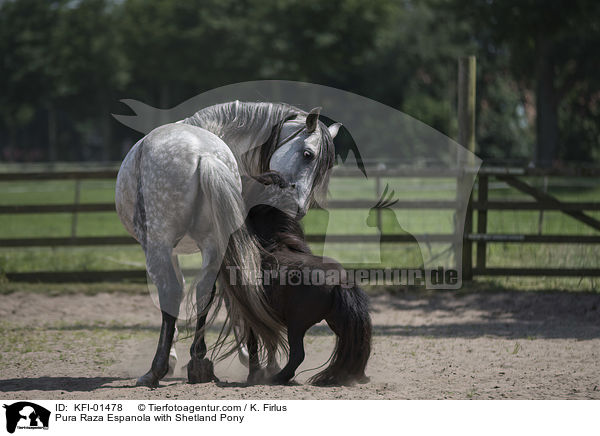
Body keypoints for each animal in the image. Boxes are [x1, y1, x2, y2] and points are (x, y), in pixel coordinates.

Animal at [115, 102, 340, 388]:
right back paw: (199, 363)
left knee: (172, 291)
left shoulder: (170, 248)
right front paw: (255, 359)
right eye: (308, 154)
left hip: (160, 243)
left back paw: (156, 370)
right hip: (210, 244)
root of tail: (204, 155)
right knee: (205, 291)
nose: (298, 209)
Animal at [241, 174, 372, 384]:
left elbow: (255, 342)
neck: (272, 245)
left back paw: (278, 378)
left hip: (296, 325)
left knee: (297, 355)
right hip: (336, 321)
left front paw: (255, 374)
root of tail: (339, 281)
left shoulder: (252, 314)